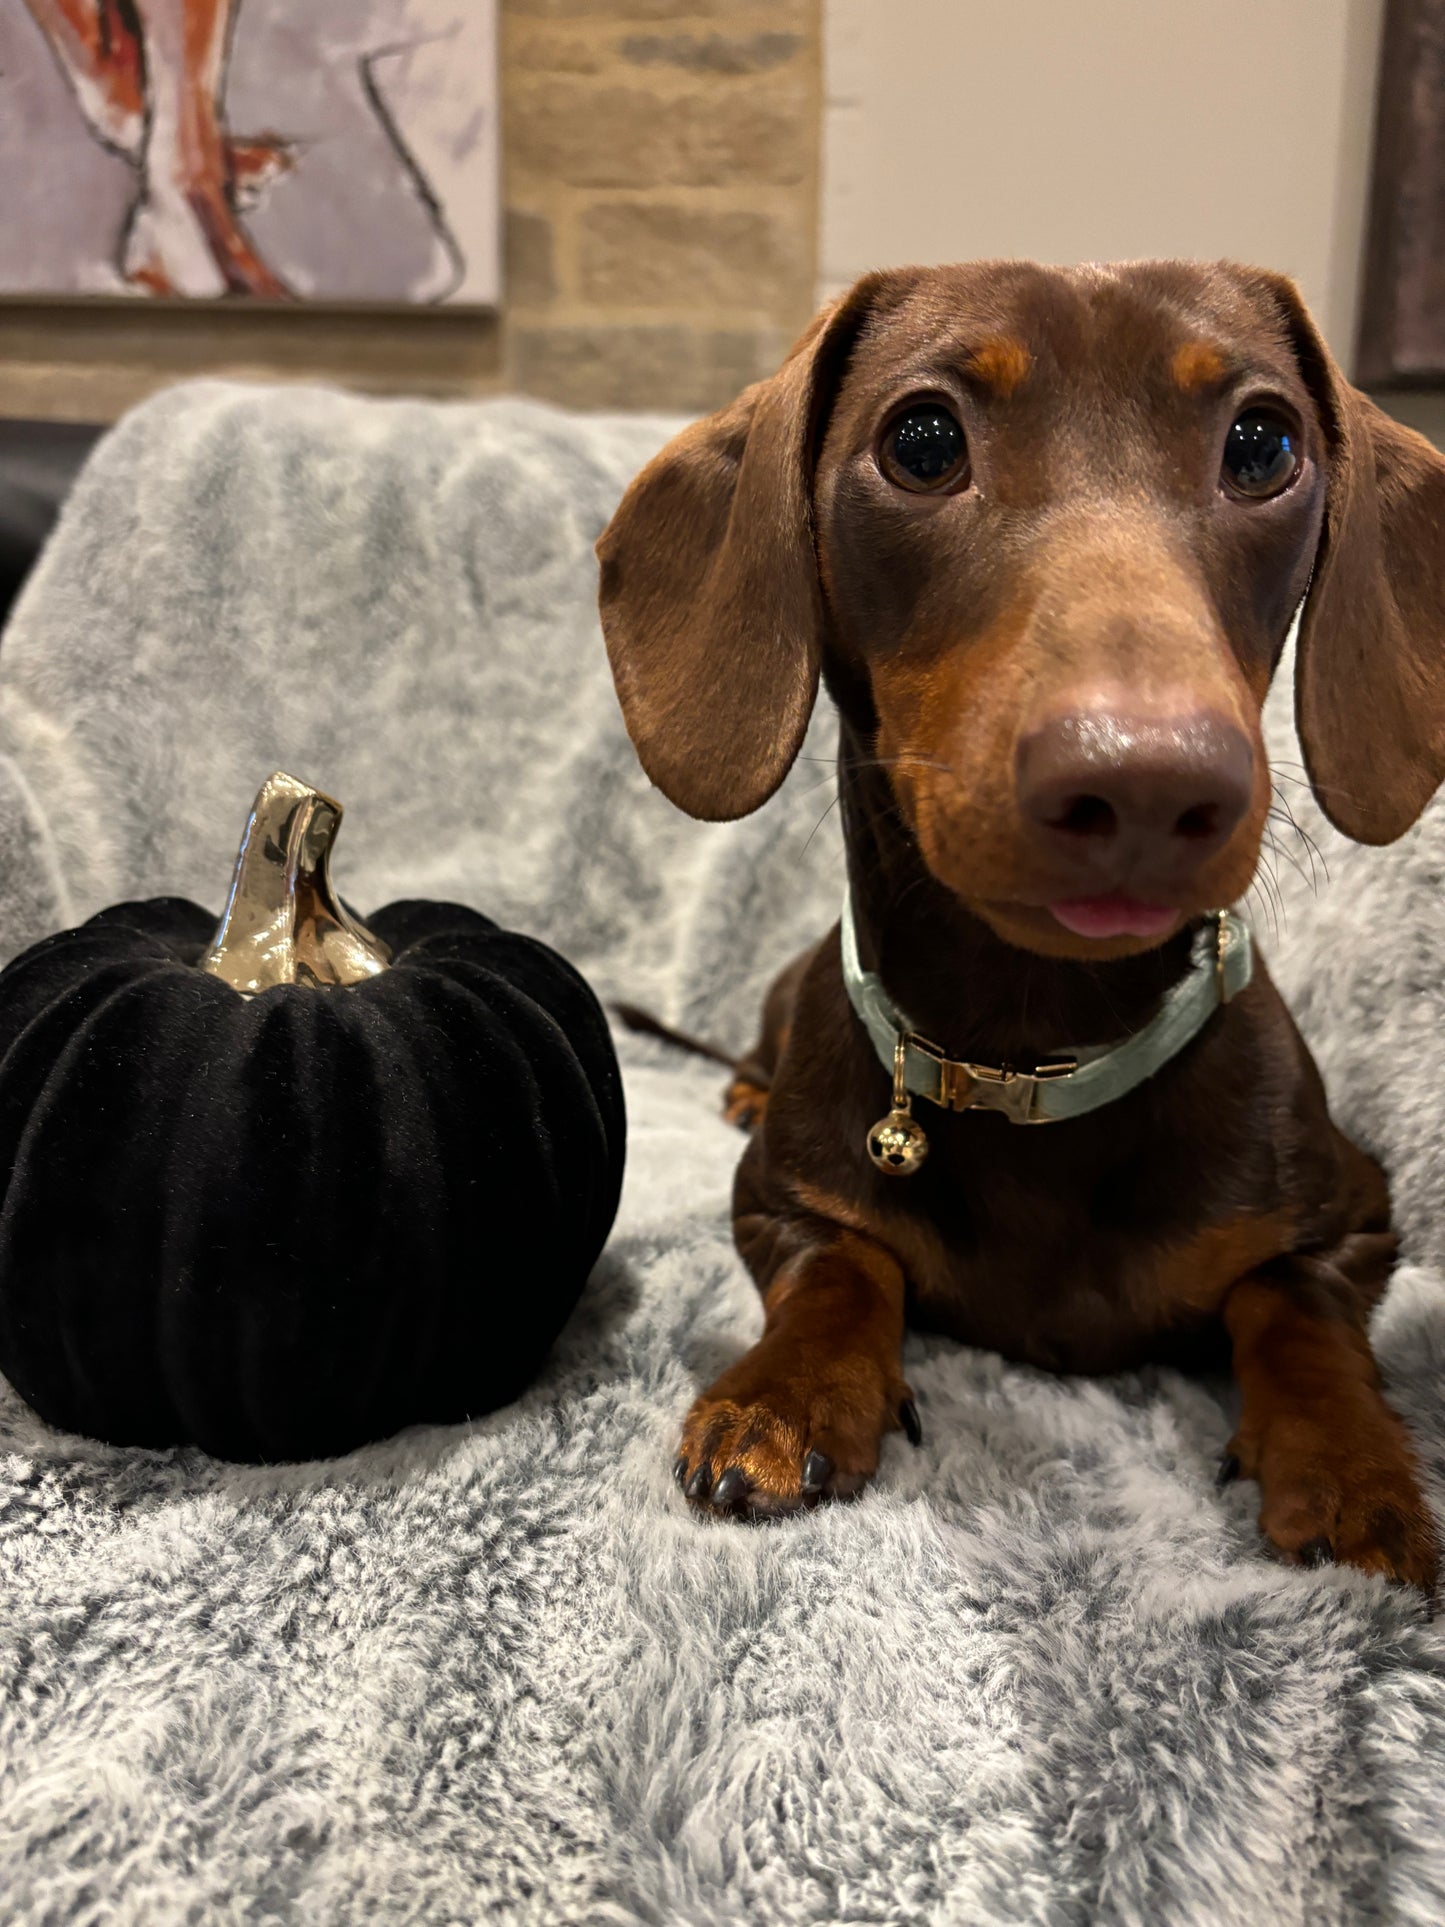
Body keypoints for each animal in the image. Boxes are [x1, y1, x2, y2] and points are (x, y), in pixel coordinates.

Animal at [593, 267, 1445, 1595]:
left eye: (1263, 443)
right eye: (921, 440)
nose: (1143, 784)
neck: (1037, 1052)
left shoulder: (1357, 1214)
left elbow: (1294, 1311)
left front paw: (1347, 1467)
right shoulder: (778, 1199)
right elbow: (845, 1263)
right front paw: (786, 1395)